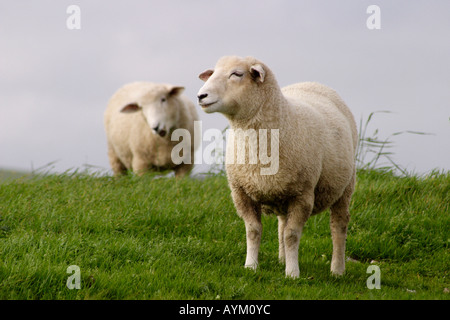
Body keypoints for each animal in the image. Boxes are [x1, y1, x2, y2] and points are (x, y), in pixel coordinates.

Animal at [197, 55, 358, 278]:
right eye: (212, 73)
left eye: (237, 74)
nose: (200, 96)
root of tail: (313, 83)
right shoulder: (241, 193)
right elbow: (253, 231)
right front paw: (251, 266)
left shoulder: (303, 195)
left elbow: (292, 235)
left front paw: (292, 273)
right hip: (281, 190)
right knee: (282, 223)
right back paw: (282, 259)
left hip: (346, 186)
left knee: (339, 225)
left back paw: (337, 269)